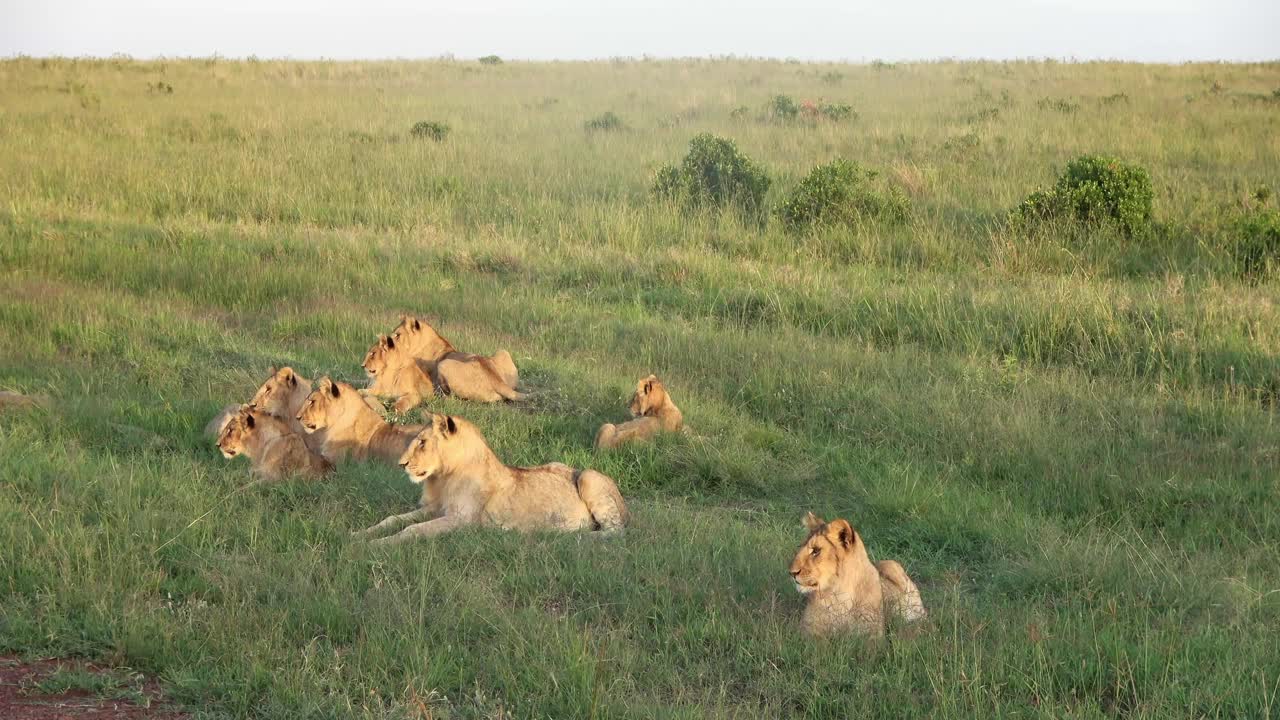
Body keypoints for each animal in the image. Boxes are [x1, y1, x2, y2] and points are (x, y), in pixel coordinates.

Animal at [358, 409, 627, 543]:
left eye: (422, 442)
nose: (401, 464)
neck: (442, 477)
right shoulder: (436, 508)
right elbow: (392, 519)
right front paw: (360, 534)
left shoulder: (462, 520)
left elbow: (412, 530)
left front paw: (376, 545)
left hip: (588, 477)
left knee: (616, 531)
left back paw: (571, 537)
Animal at [783, 509, 926, 632]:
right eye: (800, 547)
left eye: (816, 551)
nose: (791, 572)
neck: (838, 595)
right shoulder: (807, 630)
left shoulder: (872, 632)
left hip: (892, 565)